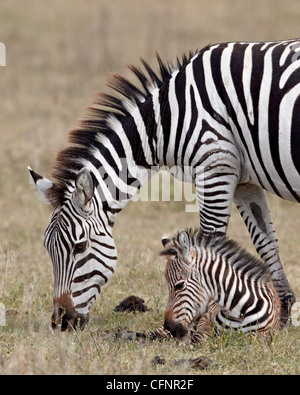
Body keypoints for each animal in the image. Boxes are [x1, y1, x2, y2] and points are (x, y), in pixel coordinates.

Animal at [28, 38, 298, 332]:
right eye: (48, 248)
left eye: (79, 246)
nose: (61, 322)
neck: (167, 120)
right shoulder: (243, 180)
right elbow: (266, 241)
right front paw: (282, 312)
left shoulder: (215, 164)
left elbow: (211, 239)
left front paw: (211, 317)